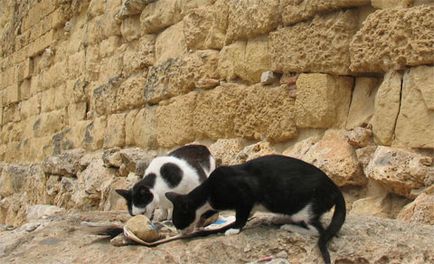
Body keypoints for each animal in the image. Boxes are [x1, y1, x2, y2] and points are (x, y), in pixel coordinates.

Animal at [166, 155, 346, 264]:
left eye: (178, 223)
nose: (180, 233)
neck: (208, 192)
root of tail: (335, 189)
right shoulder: (248, 206)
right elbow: (244, 214)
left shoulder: (244, 195)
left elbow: (240, 216)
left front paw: (234, 229)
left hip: (303, 210)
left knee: (318, 230)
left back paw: (288, 226)